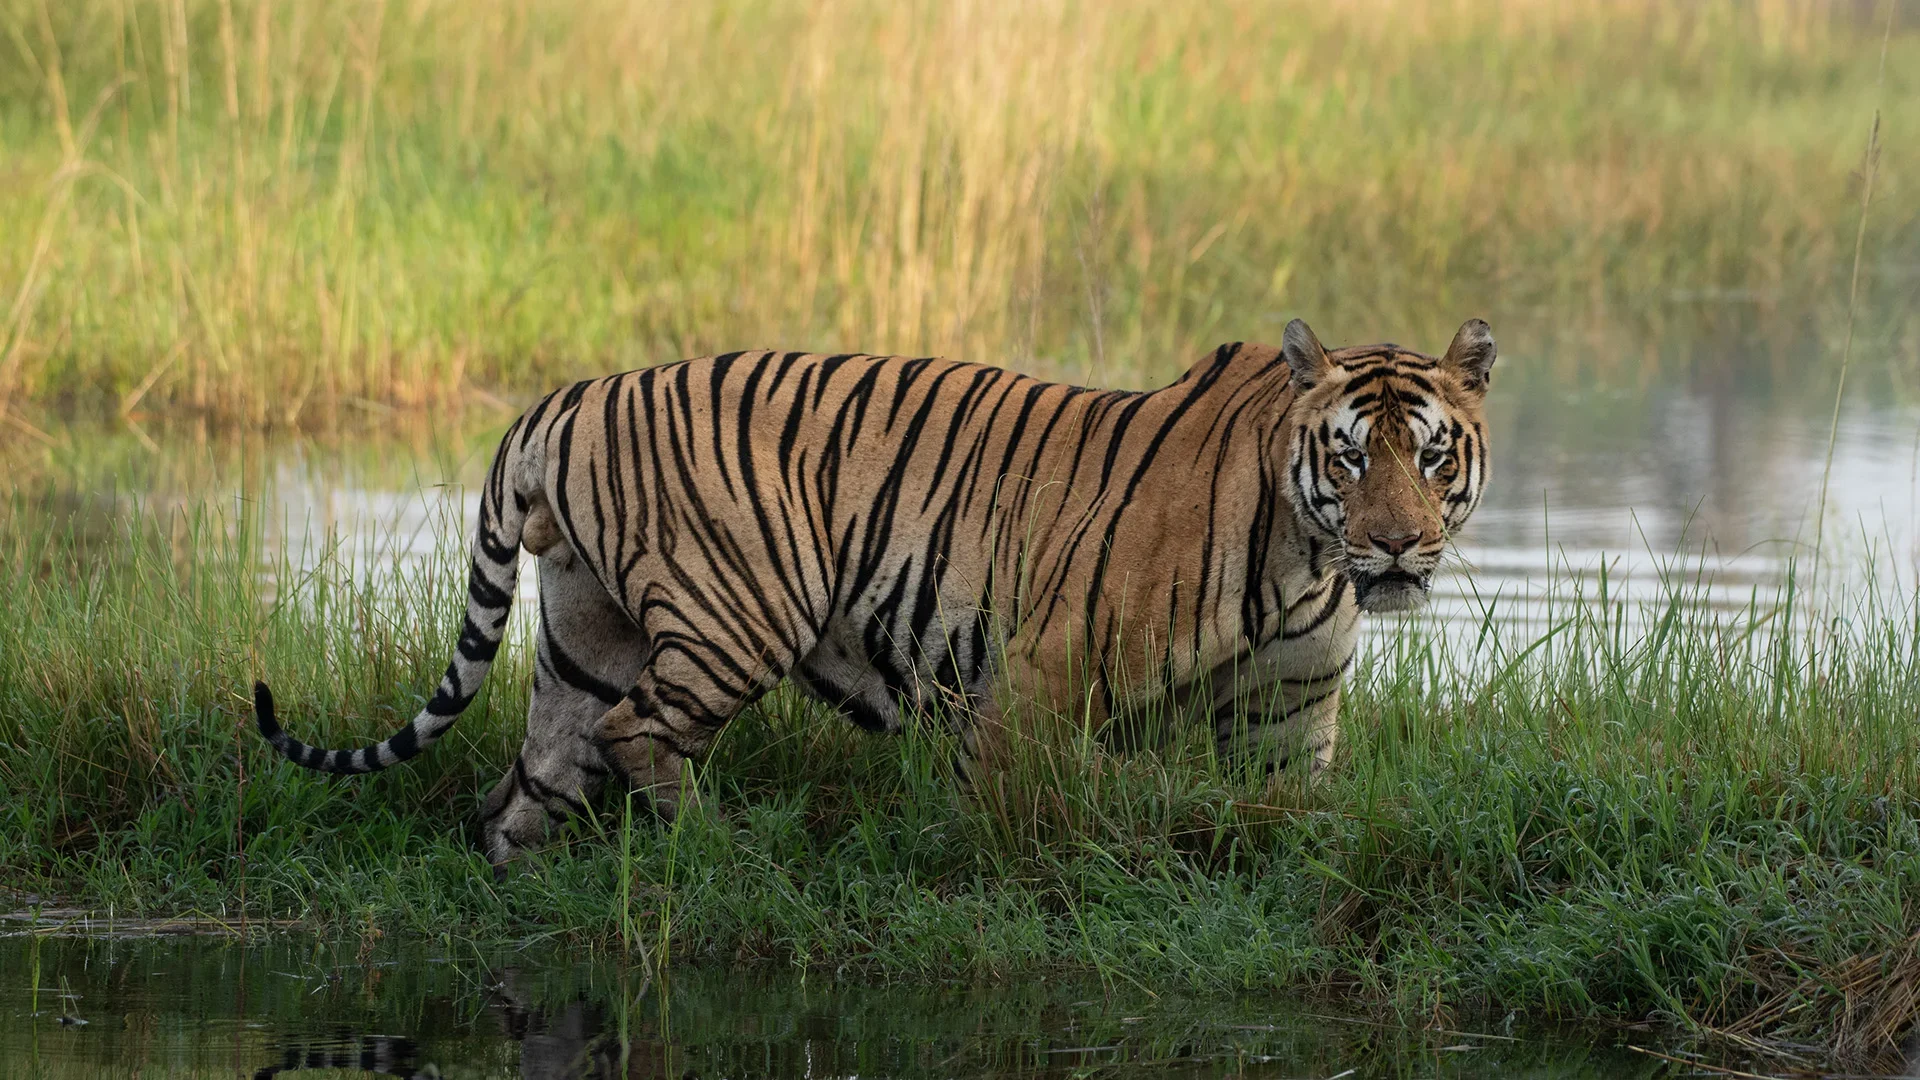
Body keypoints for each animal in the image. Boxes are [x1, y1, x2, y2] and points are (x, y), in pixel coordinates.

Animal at [253, 318, 1497, 868]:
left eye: (1433, 458)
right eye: (1350, 459)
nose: (1397, 548)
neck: (1306, 559)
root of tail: (564, 397)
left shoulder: (1292, 724)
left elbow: (1302, 826)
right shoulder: (1041, 673)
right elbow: (1024, 809)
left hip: (582, 637)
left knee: (532, 780)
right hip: (734, 614)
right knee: (639, 733)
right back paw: (725, 852)